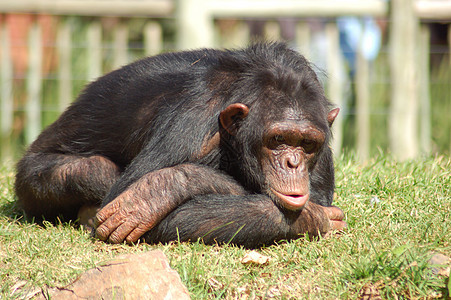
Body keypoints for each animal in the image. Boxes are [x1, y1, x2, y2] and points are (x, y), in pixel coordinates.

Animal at [14, 42, 346, 248]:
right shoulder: (193, 120)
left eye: (306, 143)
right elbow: (130, 201)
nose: (293, 163)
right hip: (30, 179)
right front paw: (162, 187)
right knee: (96, 169)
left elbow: (316, 197)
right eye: (277, 140)